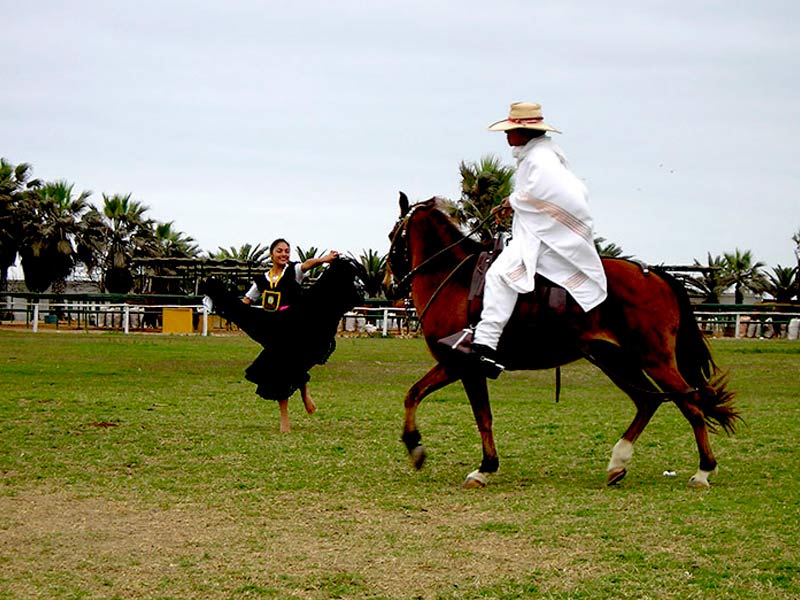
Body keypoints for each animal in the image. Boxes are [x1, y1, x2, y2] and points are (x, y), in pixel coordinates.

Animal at [384, 195, 740, 490]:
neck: (454, 280)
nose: (388, 286)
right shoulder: (458, 366)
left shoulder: (462, 365)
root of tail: (654, 274)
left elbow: (472, 413)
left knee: (690, 404)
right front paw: (426, 450)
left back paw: (703, 472)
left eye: (392, 236)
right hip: (615, 360)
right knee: (648, 401)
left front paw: (463, 462)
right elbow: (416, 395)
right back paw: (617, 464)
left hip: (654, 360)